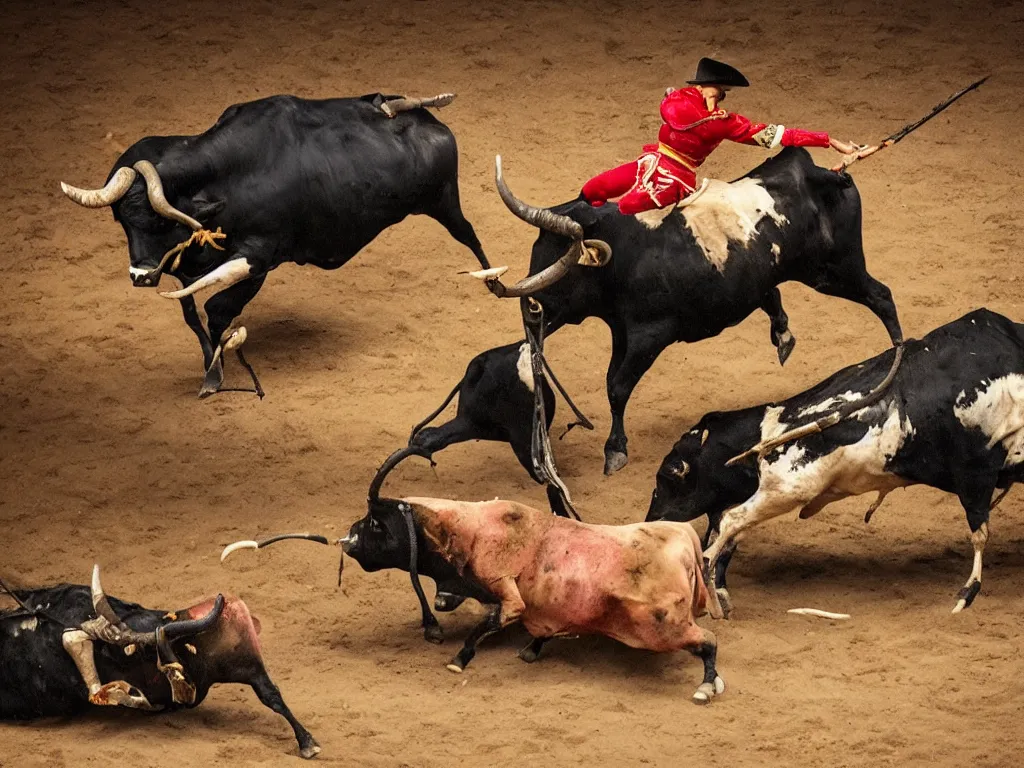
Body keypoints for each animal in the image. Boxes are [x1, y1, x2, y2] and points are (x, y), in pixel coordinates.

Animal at [60, 91, 491, 397]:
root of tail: (431, 122)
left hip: (444, 201)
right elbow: (191, 312)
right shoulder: (187, 265)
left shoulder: (259, 259)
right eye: (121, 220)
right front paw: (209, 364)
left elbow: (217, 311)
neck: (228, 181)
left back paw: (493, 281)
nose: (140, 276)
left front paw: (213, 377)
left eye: (155, 219)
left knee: (470, 234)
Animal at [479, 147, 905, 475]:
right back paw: (784, 335)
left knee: (882, 297)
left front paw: (615, 450)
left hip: (837, 269)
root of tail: (824, 173)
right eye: (536, 250)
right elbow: (613, 381)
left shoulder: (650, 335)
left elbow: (618, 386)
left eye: (563, 266)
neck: (625, 256)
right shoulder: (622, 330)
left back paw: (893, 364)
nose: (531, 311)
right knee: (782, 296)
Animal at [647, 309, 1024, 622]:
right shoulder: (975, 474)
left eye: (670, 476)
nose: (651, 520)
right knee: (728, 528)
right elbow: (979, 531)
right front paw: (966, 595)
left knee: (727, 530)